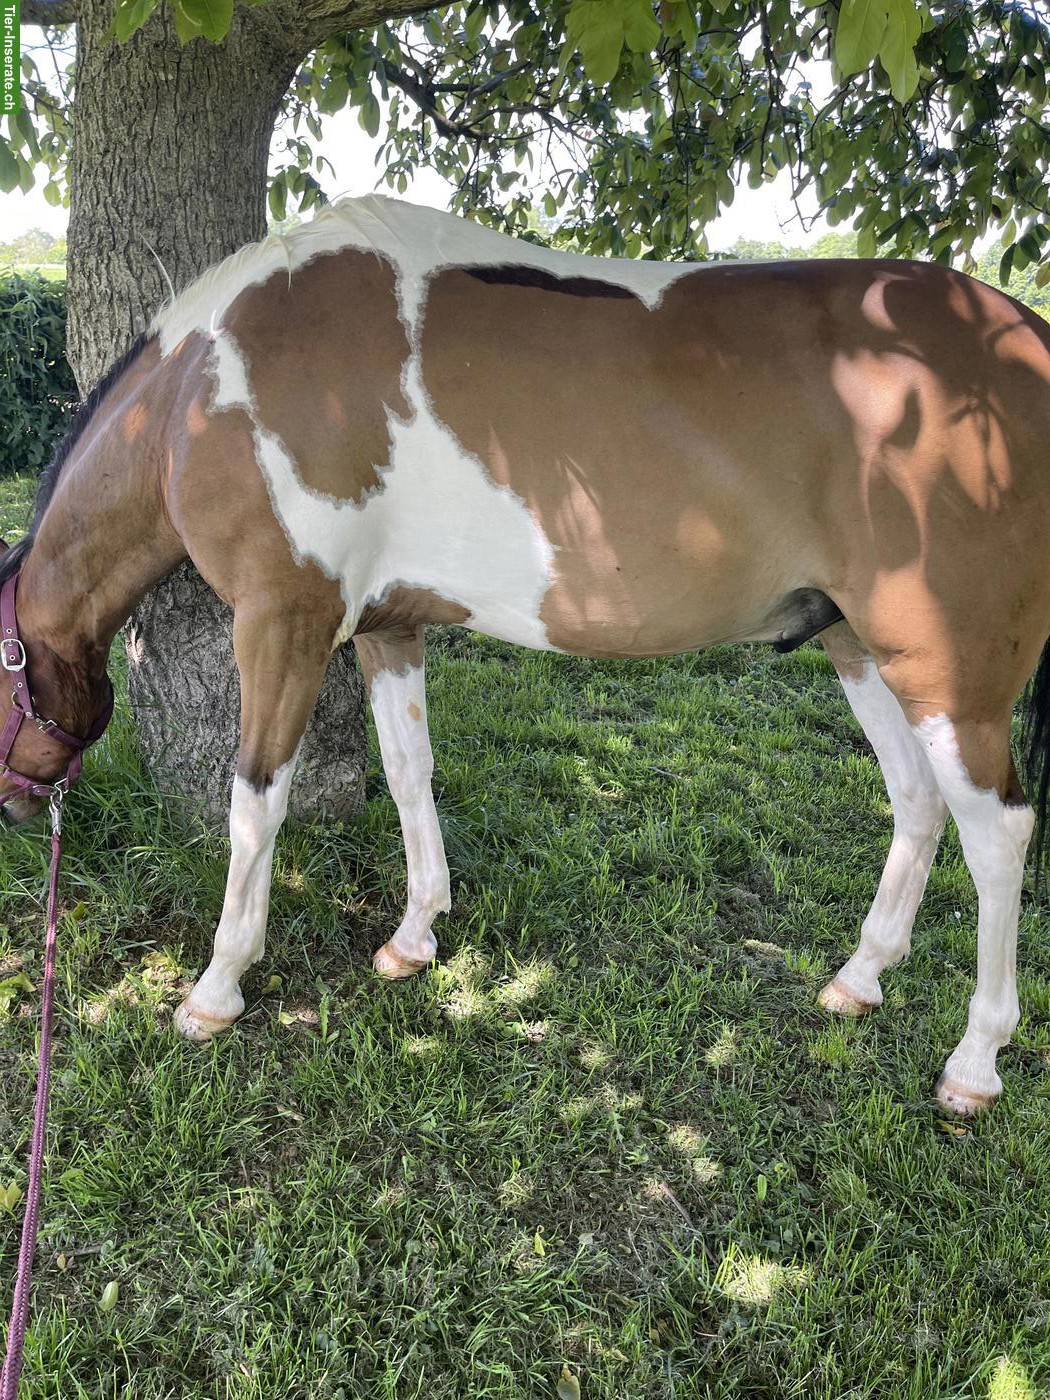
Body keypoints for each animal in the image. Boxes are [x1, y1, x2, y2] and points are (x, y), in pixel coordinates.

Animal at [3, 194, 1049, 1117]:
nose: (18, 810)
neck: (206, 394)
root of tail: (1025, 342)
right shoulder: (386, 626)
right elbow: (409, 769)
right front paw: (414, 935)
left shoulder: (281, 620)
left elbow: (256, 804)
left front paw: (217, 986)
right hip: (855, 642)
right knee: (916, 801)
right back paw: (859, 979)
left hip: (947, 672)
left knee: (998, 833)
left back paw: (975, 1064)